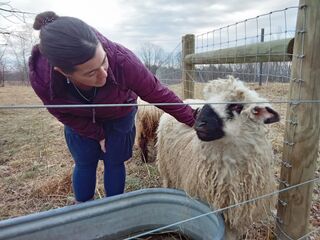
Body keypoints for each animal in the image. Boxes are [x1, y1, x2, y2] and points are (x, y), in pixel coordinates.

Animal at [157, 76, 280, 238]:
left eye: (236, 106)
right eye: (207, 99)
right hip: (166, 165)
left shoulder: (238, 209)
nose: (199, 123)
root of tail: (186, 99)